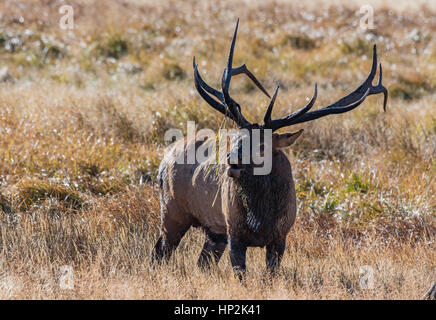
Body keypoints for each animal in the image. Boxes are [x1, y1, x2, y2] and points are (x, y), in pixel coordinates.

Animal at [151, 20, 388, 278]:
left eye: (263, 145)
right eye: (237, 138)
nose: (232, 161)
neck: (262, 218)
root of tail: (164, 159)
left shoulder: (280, 236)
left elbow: (271, 274)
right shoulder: (234, 232)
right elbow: (241, 275)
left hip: (213, 231)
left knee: (201, 261)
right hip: (172, 211)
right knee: (159, 251)